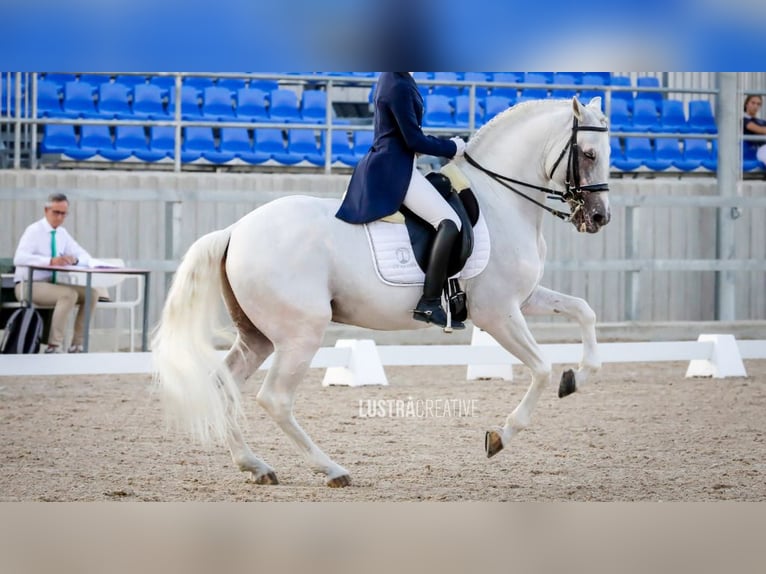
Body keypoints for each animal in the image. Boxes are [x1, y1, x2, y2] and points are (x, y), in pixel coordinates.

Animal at [154, 97, 612, 488]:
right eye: (589, 154)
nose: (599, 218)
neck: (501, 202)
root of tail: (235, 230)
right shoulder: (497, 312)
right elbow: (541, 368)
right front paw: (501, 435)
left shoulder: (523, 299)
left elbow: (584, 311)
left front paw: (577, 377)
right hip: (301, 334)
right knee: (276, 399)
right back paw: (332, 469)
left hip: (258, 335)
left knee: (223, 384)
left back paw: (255, 466)